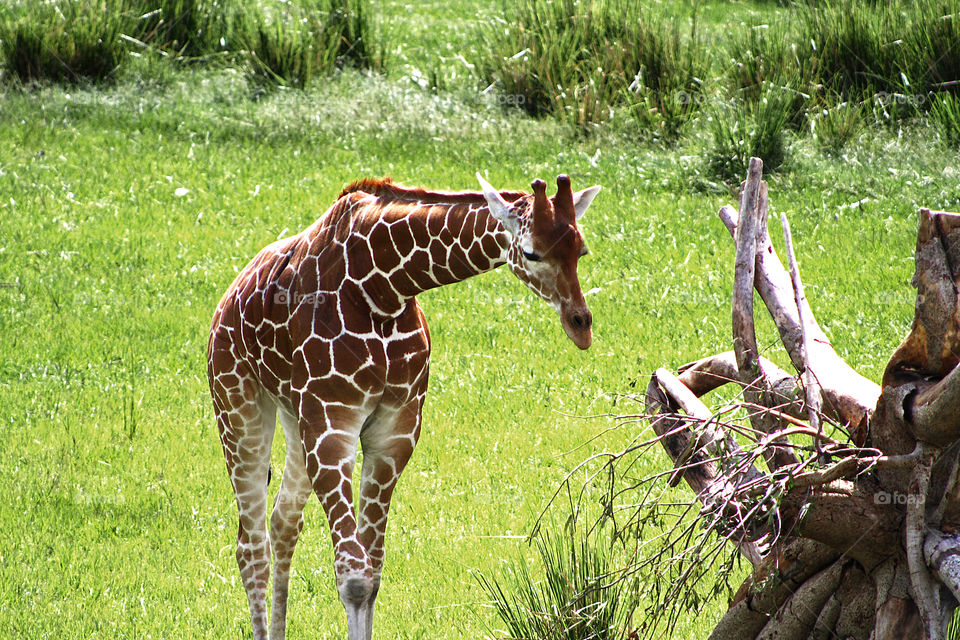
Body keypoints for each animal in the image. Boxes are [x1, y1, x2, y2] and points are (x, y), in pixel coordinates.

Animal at [208, 171, 600, 640]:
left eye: (581, 250)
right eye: (531, 252)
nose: (580, 326)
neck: (383, 289)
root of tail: (229, 296)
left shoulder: (393, 432)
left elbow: (373, 574)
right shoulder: (332, 425)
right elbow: (354, 578)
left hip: (294, 418)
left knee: (284, 523)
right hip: (239, 407)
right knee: (251, 548)